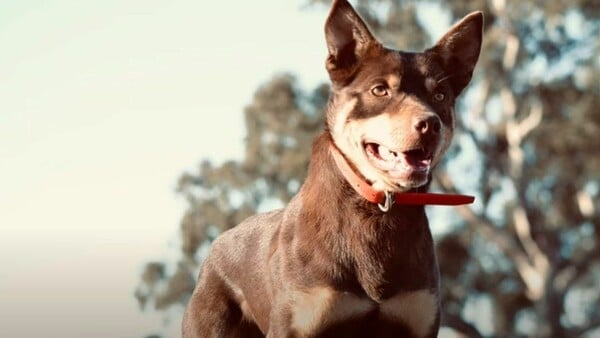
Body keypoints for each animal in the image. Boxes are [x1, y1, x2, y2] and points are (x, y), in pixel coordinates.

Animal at [183, 1, 482, 336]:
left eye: (440, 96)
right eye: (380, 90)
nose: (430, 124)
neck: (377, 209)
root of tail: (217, 244)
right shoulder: (295, 322)